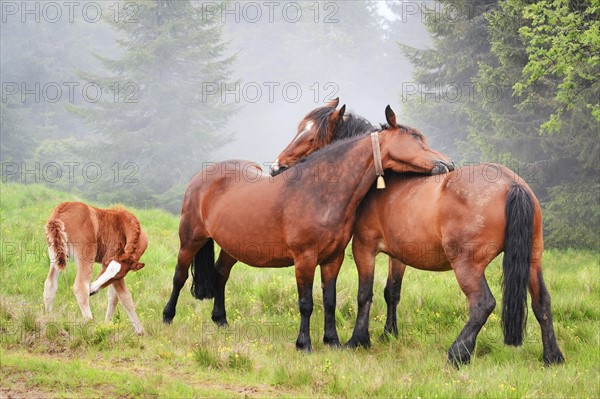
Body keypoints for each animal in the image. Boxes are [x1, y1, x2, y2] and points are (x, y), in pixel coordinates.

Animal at [43, 202, 148, 336]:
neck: (124, 224)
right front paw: (141, 332)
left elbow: (113, 297)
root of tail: (61, 210)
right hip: (86, 256)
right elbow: (125, 298)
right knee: (80, 287)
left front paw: (107, 325)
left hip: (56, 256)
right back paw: (90, 324)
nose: (92, 290)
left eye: (117, 275)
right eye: (106, 263)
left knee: (50, 284)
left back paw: (47, 318)